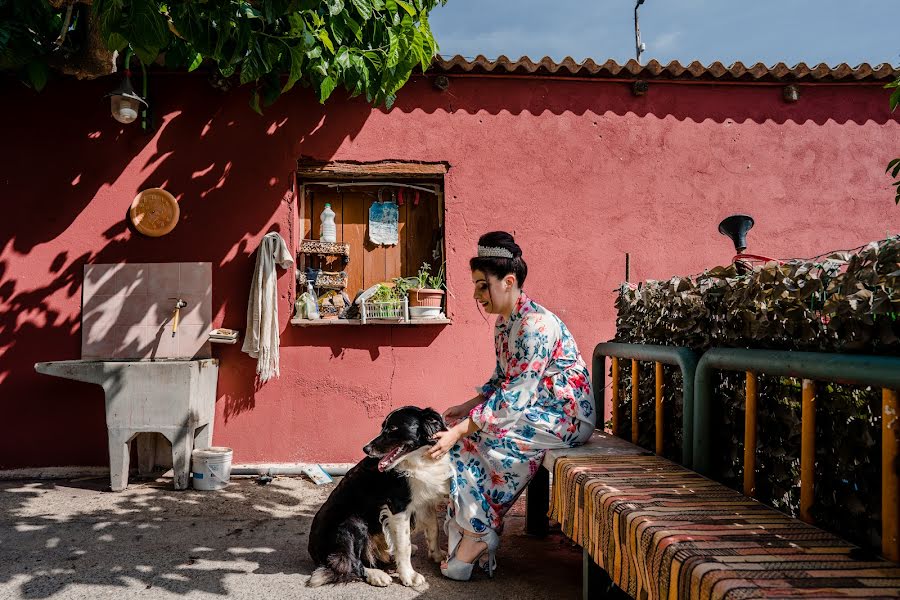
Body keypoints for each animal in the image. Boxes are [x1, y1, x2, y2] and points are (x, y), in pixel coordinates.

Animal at [308, 406, 450, 588]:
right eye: (383, 427)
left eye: (393, 428)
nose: (366, 449)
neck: (418, 460)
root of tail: (313, 551)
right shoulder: (398, 507)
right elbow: (404, 545)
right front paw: (408, 576)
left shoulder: (425, 502)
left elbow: (434, 530)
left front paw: (437, 555)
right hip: (354, 522)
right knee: (351, 563)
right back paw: (376, 574)